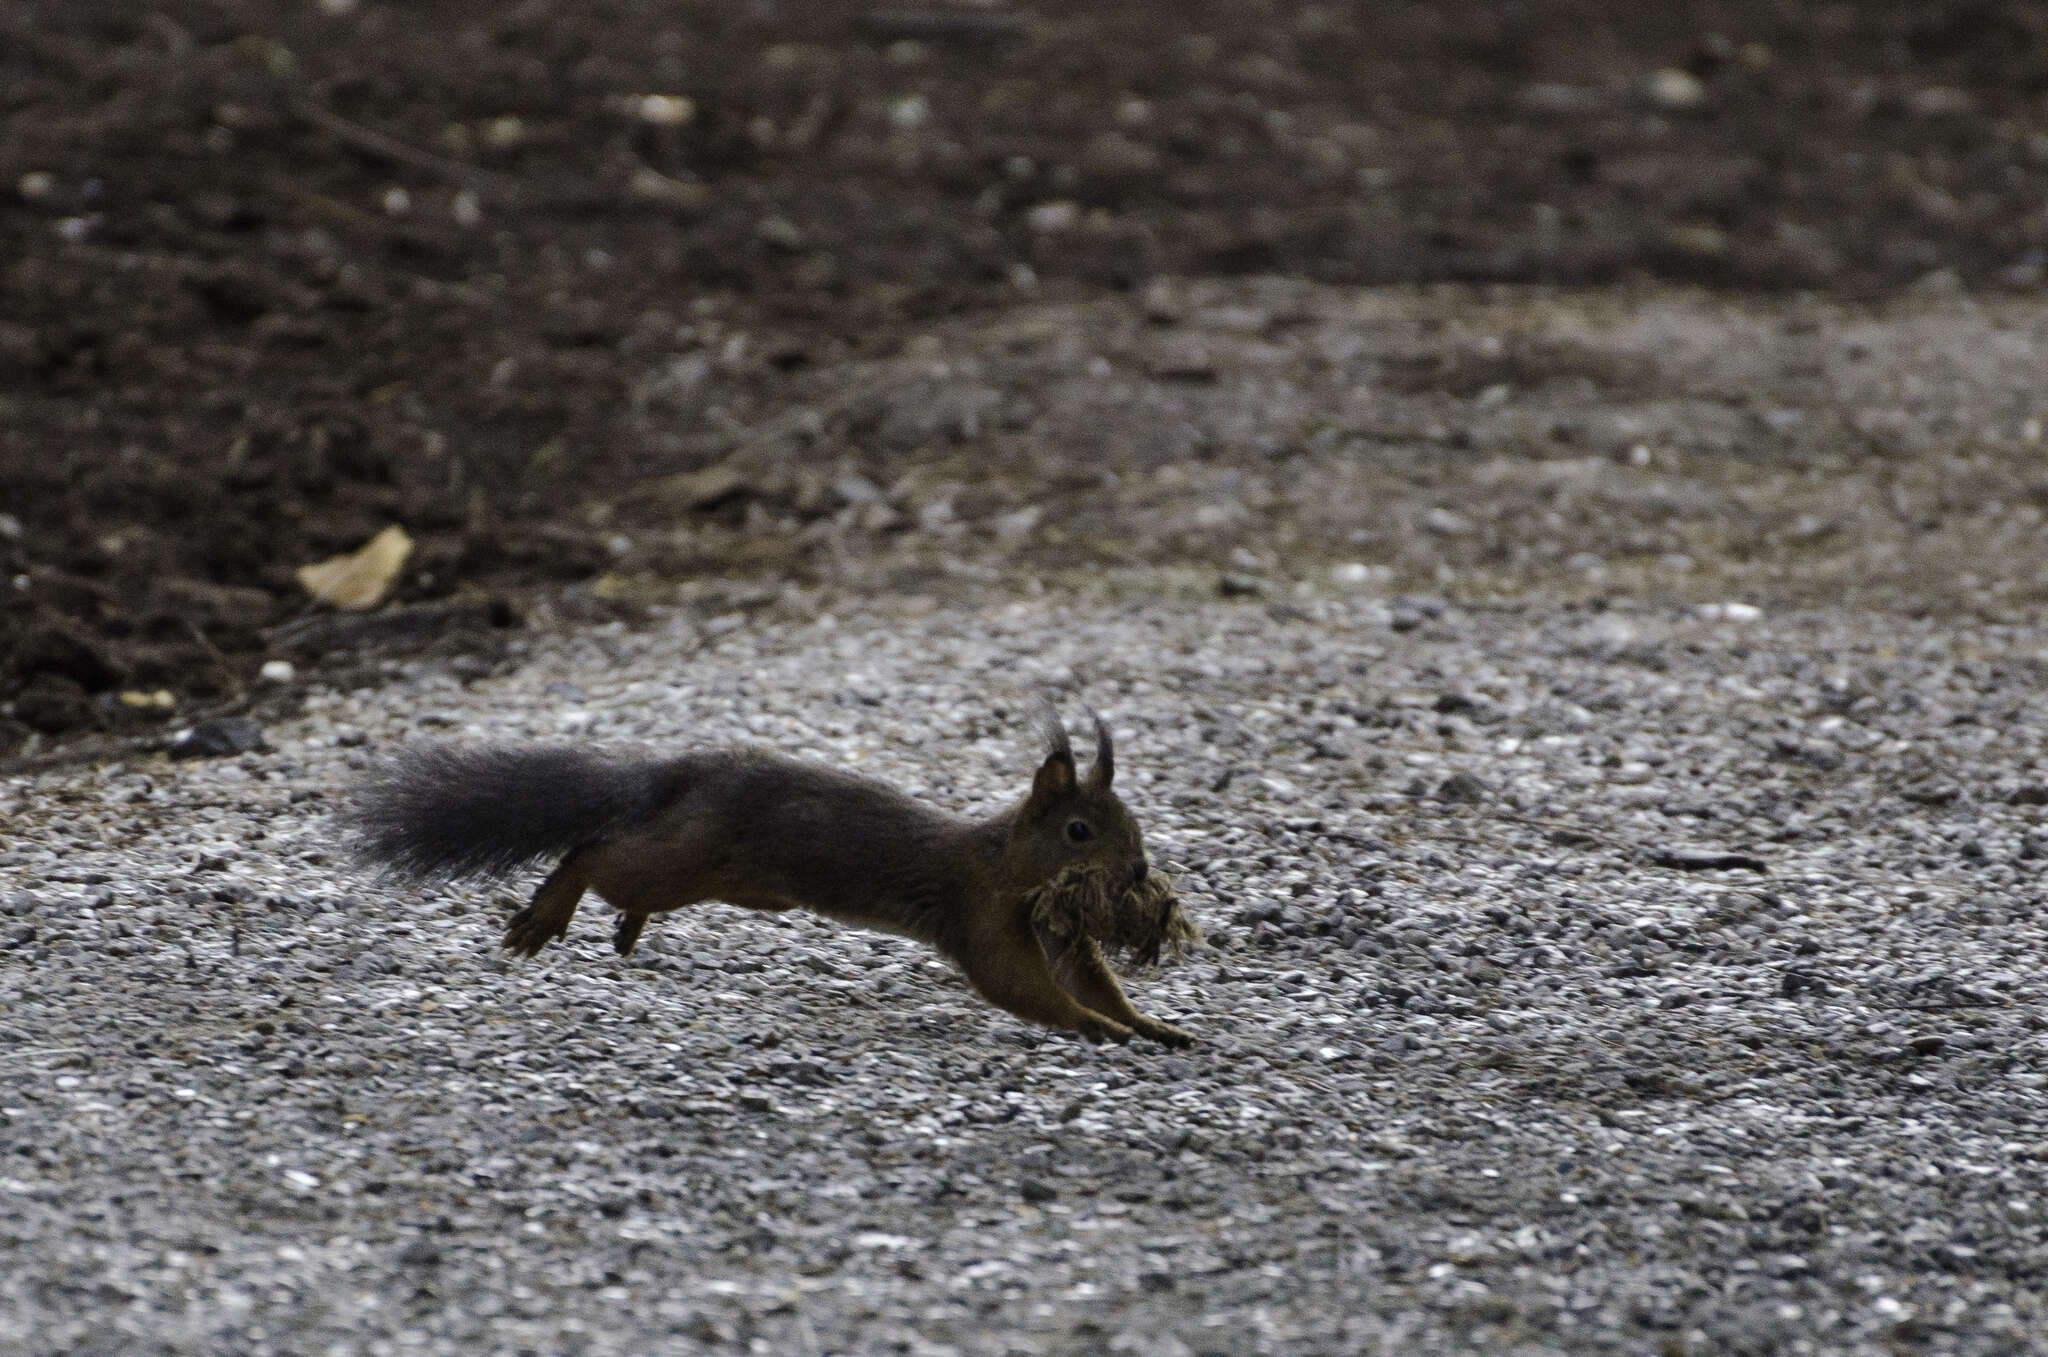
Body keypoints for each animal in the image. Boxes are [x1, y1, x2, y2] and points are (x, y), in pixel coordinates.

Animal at [344, 704, 1196, 1043]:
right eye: (1079, 830)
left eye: (1133, 821)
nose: (1138, 869)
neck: (1006, 863)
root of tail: (686, 773)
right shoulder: (981, 914)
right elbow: (1022, 986)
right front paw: (1100, 1028)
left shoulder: (1056, 930)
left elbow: (1089, 979)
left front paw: (1150, 1024)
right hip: (690, 859)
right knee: (596, 850)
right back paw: (551, 911)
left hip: (734, 883)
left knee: (629, 869)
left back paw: (625, 929)